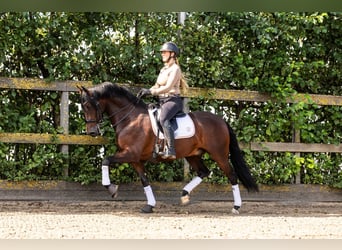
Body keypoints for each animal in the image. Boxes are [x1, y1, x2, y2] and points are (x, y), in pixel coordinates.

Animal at [79, 81, 258, 213]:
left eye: (88, 106)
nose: (92, 132)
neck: (130, 118)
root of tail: (221, 120)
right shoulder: (135, 159)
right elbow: (144, 180)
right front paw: (149, 206)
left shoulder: (130, 154)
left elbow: (106, 160)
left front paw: (111, 188)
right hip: (192, 155)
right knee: (204, 172)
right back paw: (184, 194)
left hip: (219, 154)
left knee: (231, 175)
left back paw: (236, 207)